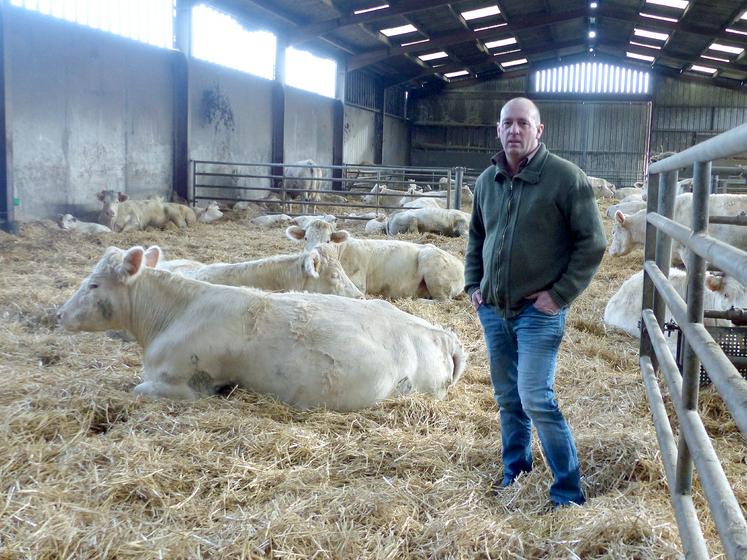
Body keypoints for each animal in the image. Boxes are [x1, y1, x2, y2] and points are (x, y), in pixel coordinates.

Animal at [288, 219, 468, 300]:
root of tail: (460, 263)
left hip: (434, 270)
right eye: (305, 238)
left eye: (328, 241)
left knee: (443, 300)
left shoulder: (358, 284)